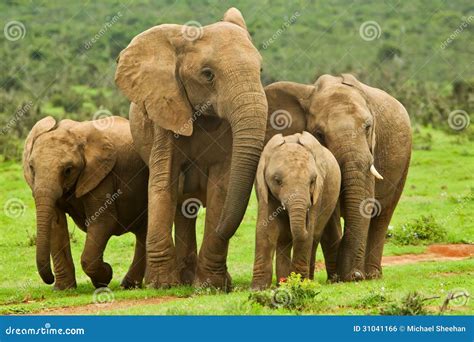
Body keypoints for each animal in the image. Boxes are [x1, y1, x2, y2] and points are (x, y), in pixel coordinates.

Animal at [22, 116, 147, 290]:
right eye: (32, 167)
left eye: (68, 170)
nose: (50, 278)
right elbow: (56, 224)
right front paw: (63, 289)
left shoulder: (103, 176)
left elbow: (103, 221)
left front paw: (105, 276)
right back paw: (129, 285)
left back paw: (128, 286)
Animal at [115, 7, 268, 292]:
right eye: (208, 74)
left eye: (260, 69)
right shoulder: (165, 111)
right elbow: (163, 181)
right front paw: (161, 285)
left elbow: (222, 187)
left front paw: (211, 285)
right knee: (180, 202)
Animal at [252, 131, 340, 288]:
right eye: (277, 180)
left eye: (312, 181)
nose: (306, 218)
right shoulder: (263, 189)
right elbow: (266, 230)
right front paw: (257, 288)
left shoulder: (318, 192)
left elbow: (307, 236)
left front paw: (299, 283)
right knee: (285, 240)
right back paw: (282, 282)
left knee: (314, 238)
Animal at [262, 74, 412, 280]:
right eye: (319, 134)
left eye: (368, 127)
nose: (355, 276)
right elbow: (331, 211)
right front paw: (338, 278)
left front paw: (349, 276)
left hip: (405, 160)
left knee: (383, 215)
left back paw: (372, 275)